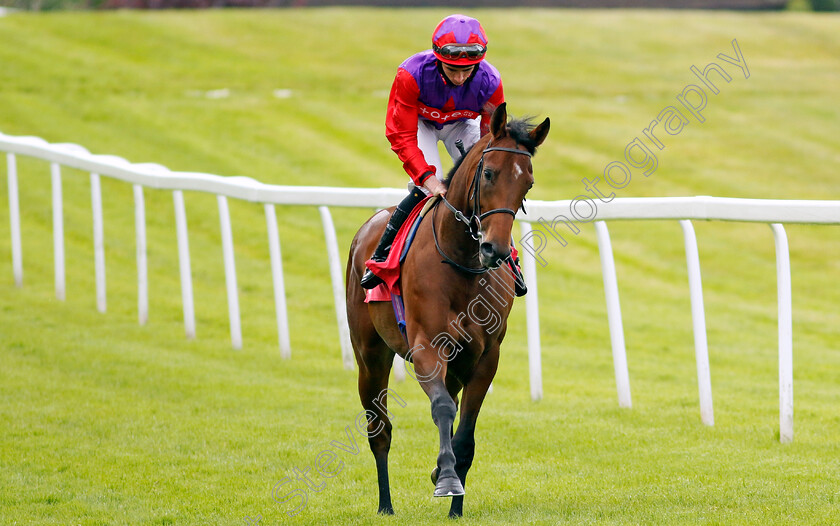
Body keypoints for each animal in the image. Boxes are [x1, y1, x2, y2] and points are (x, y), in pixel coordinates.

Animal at [344, 104, 548, 520]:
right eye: (489, 173)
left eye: (528, 184)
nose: (495, 249)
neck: (461, 262)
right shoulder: (426, 346)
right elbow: (441, 408)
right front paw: (448, 479)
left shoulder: (486, 356)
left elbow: (465, 430)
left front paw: (454, 501)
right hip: (370, 356)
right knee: (379, 428)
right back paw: (385, 504)